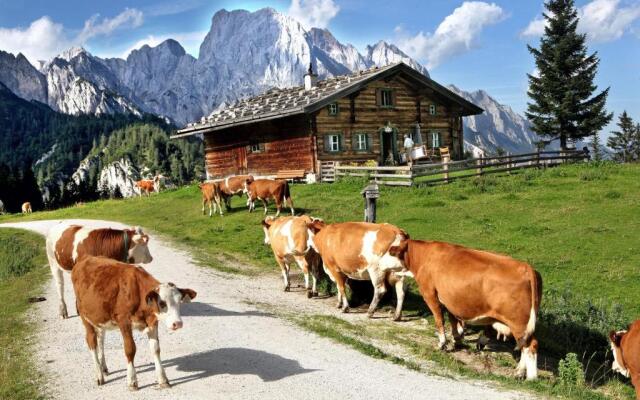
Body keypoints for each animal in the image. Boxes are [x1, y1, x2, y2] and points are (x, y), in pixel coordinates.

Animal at [70, 256, 195, 390]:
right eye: (162, 303)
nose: (178, 323)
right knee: (92, 341)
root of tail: (86, 258)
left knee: (101, 339)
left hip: (100, 317)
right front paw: (132, 380)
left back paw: (103, 368)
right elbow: (130, 349)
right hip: (85, 317)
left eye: (180, 301)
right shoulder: (124, 322)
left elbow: (156, 349)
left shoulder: (152, 322)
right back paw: (99, 375)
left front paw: (163, 379)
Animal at [388, 239, 544, 380]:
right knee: (525, 345)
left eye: (391, 252)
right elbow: (452, 321)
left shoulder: (430, 295)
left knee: (531, 346)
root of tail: (526, 267)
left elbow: (439, 320)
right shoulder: (449, 300)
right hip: (523, 325)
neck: (424, 256)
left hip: (518, 322)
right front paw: (457, 340)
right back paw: (519, 371)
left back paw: (530, 377)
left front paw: (442, 344)